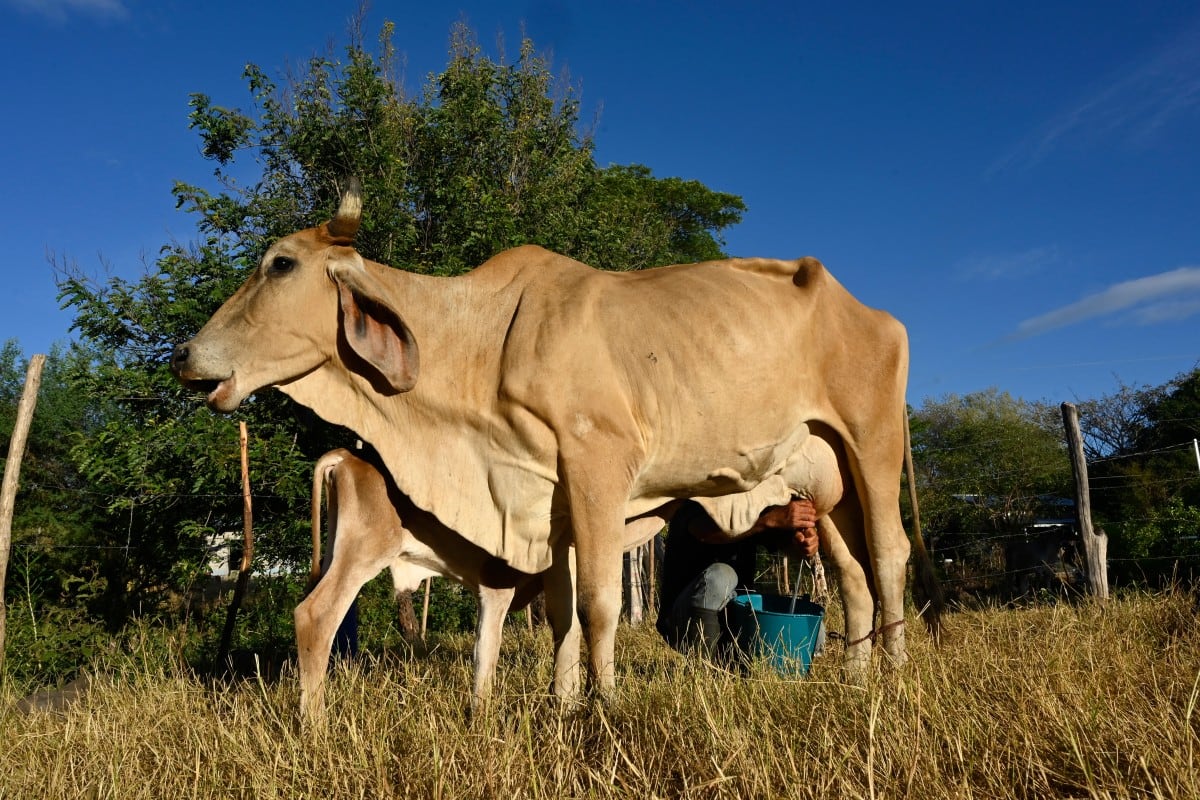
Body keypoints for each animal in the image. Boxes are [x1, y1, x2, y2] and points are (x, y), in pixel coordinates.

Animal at [172, 180, 939, 696]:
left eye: (281, 263)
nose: (183, 353)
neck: (484, 344)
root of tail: (875, 314)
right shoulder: (554, 502)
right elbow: (562, 611)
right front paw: (563, 705)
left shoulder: (598, 462)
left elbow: (597, 604)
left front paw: (604, 709)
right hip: (825, 482)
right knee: (852, 576)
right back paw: (855, 678)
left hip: (871, 445)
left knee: (891, 557)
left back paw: (897, 681)